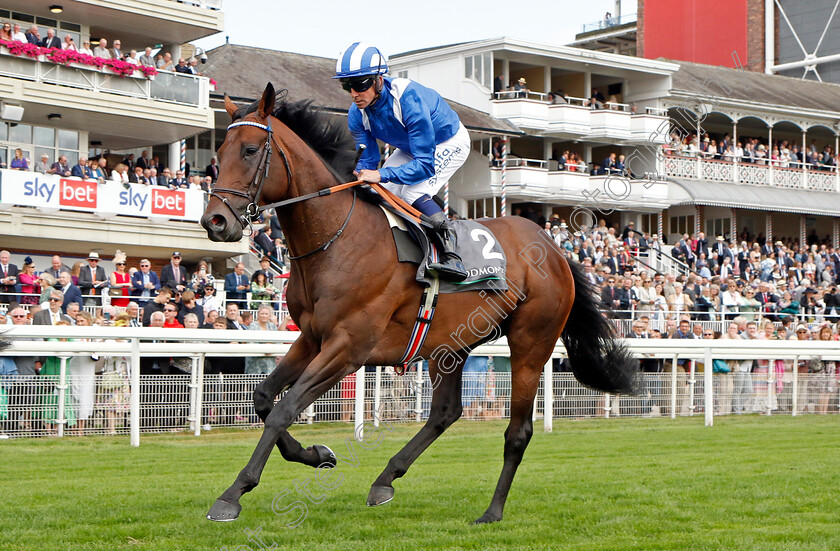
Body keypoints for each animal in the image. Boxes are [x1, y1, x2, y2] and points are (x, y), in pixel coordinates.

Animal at [202, 83, 636, 528]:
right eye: (219, 152)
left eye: (250, 150)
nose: (215, 221)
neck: (338, 239)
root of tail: (553, 247)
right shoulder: (311, 338)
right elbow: (263, 398)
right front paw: (318, 454)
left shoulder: (348, 347)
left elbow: (284, 408)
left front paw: (233, 493)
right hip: (450, 344)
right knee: (445, 412)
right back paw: (385, 480)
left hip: (531, 343)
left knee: (518, 431)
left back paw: (491, 511)